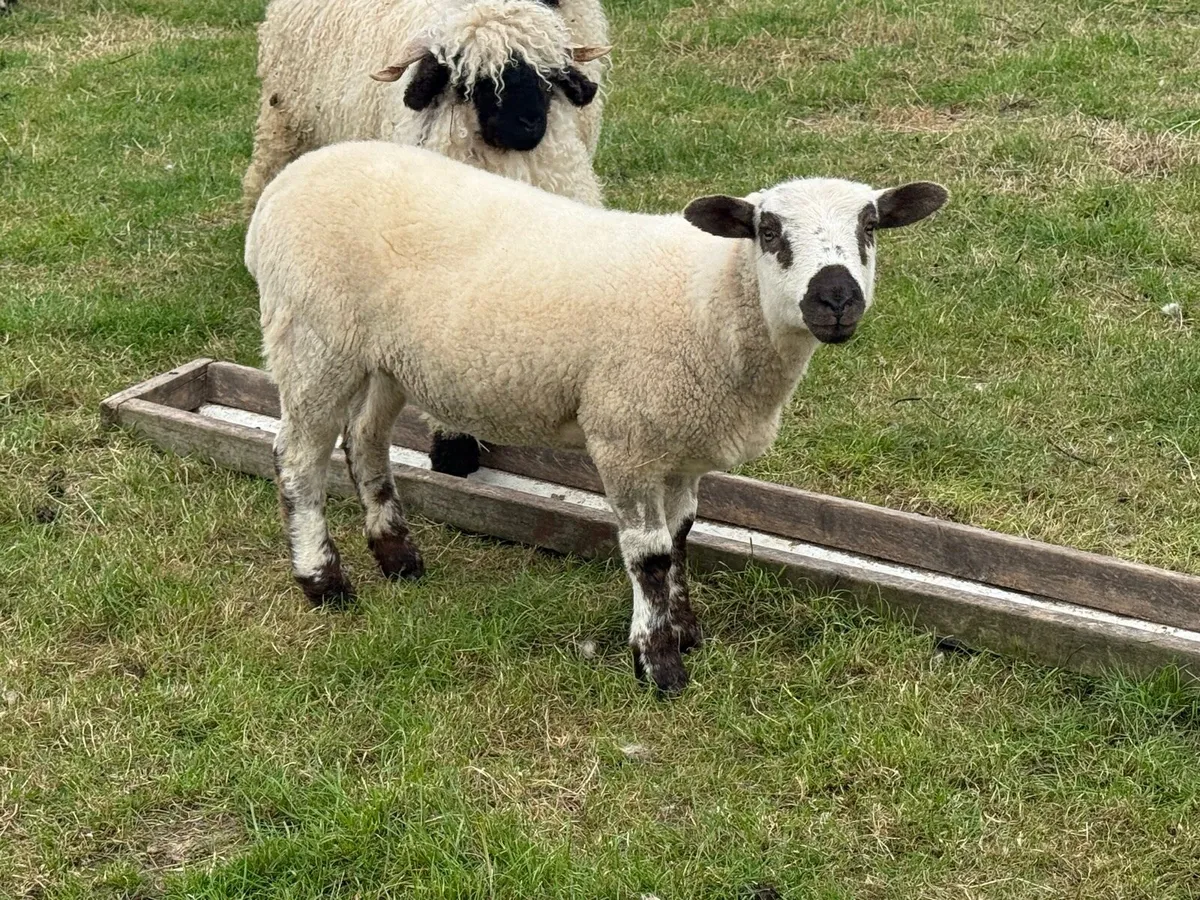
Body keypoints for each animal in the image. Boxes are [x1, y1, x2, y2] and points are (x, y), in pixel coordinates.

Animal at [245, 141, 949, 694]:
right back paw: (323, 582)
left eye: (870, 226)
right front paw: (658, 663)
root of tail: (287, 183)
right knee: (299, 459)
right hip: (313, 337)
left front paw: (685, 630)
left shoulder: (682, 446)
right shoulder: (626, 436)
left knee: (365, 441)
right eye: (768, 232)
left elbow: (683, 535)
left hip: (385, 359)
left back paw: (397, 556)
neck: (711, 298)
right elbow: (650, 555)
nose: (836, 296)